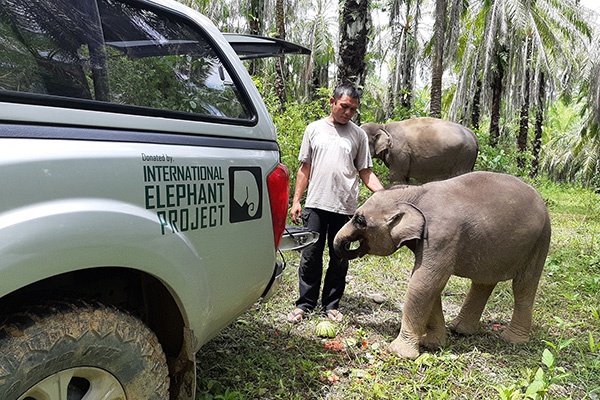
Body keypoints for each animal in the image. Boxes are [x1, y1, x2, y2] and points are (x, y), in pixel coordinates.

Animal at [336, 170, 552, 358]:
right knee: (483, 282)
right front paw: (432, 343)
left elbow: (423, 283)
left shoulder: (441, 236)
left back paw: (512, 339)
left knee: (523, 286)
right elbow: (432, 286)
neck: (415, 193)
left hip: (541, 240)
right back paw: (460, 329)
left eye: (360, 220)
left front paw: (399, 353)